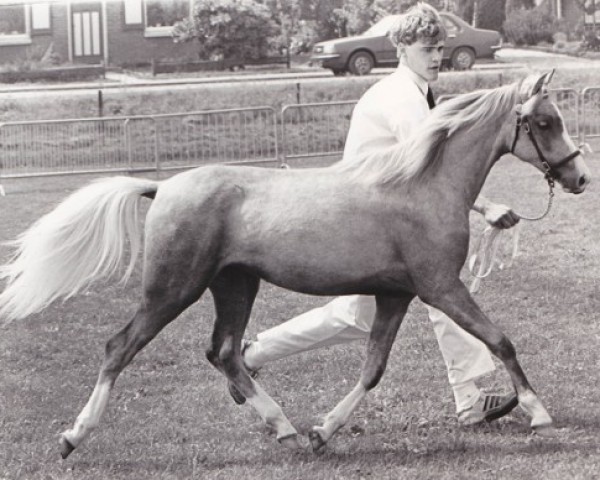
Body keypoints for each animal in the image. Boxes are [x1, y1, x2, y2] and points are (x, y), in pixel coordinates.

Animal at [0, 71, 592, 458]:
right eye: (544, 121)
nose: (580, 178)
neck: (423, 186)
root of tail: (162, 186)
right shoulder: (441, 287)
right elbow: (500, 340)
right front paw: (539, 414)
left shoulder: (396, 295)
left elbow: (373, 368)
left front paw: (321, 433)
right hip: (173, 289)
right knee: (120, 347)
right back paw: (73, 437)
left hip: (235, 286)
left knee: (225, 352)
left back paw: (282, 427)